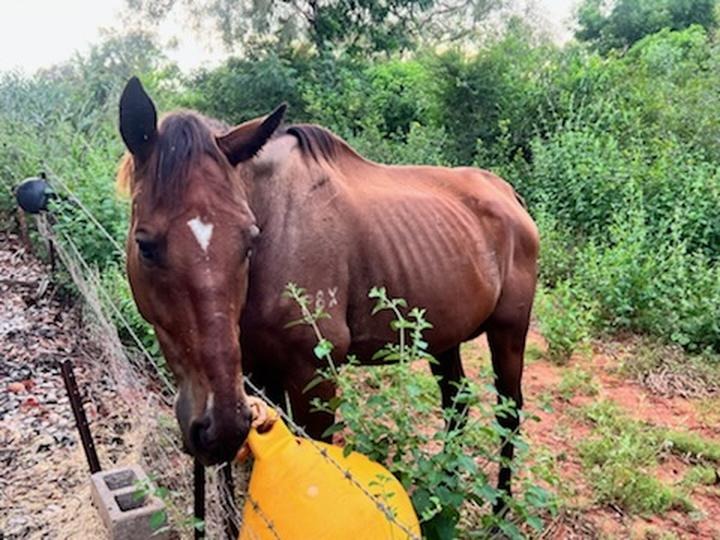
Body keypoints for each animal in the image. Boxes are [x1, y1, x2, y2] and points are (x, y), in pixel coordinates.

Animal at [117, 76, 539, 508]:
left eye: (249, 241)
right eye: (145, 245)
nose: (219, 428)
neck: (277, 231)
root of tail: (509, 196)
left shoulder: (314, 375)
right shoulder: (257, 373)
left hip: (509, 331)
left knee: (508, 413)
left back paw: (501, 505)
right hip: (442, 336)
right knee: (456, 402)